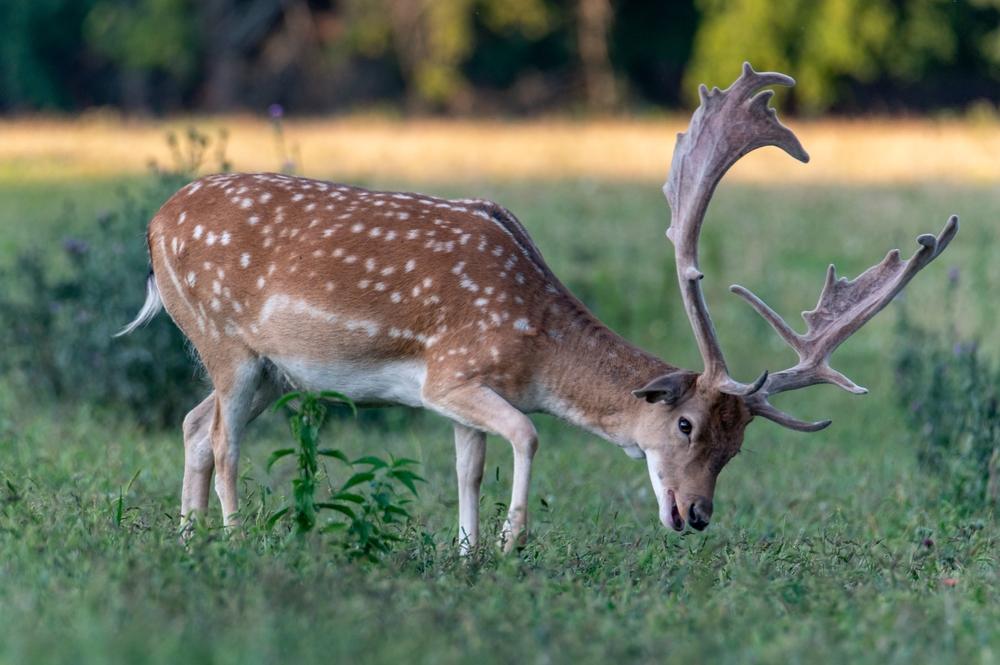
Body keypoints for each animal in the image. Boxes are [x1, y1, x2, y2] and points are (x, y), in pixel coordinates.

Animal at [118, 63, 958, 553]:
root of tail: (153, 228)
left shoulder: (456, 399)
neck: (535, 339)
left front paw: (467, 552)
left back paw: (189, 538)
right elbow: (526, 434)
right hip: (226, 340)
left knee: (193, 423)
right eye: (686, 424)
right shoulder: (452, 373)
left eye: (739, 444)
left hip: (274, 370)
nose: (695, 514)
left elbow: (469, 466)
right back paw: (235, 538)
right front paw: (513, 541)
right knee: (223, 437)